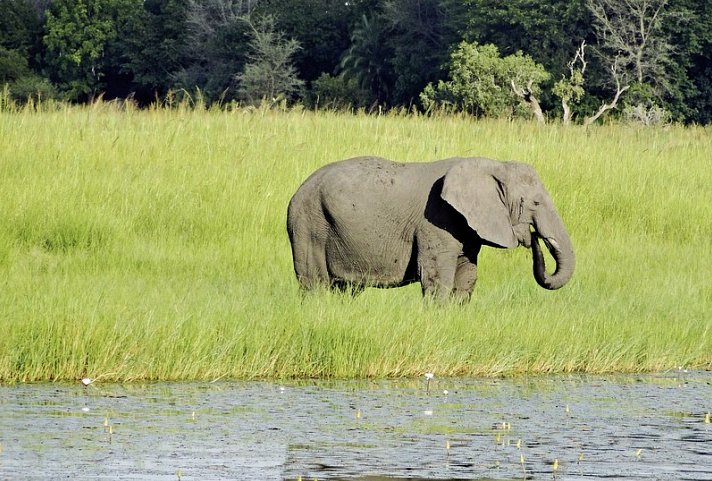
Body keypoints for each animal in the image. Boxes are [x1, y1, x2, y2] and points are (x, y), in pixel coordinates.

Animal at [286, 157, 576, 300]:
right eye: (535, 203)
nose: (533, 237)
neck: (494, 164)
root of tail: (297, 191)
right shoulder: (436, 220)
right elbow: (437, 280)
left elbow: (466, 279)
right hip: (309, 224)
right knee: (315, 285)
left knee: (346, 289)